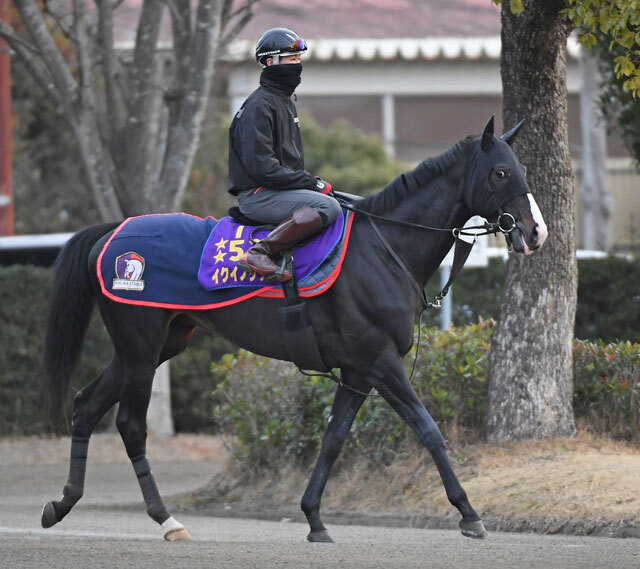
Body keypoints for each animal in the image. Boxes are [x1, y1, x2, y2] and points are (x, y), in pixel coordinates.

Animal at [42, 116, 548, 540]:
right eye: (500, 173)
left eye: (520, 167)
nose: (536, 231)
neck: (383, 247)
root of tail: (113, 234)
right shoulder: (381, 361)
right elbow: (428, 430)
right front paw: (469, 513)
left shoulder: (358, 371)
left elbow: (333, 439)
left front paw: (314, 517)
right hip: (142, 348)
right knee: (130, 425)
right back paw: (166, 518)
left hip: (156, 344)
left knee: (86, 406)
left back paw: (62, 504)